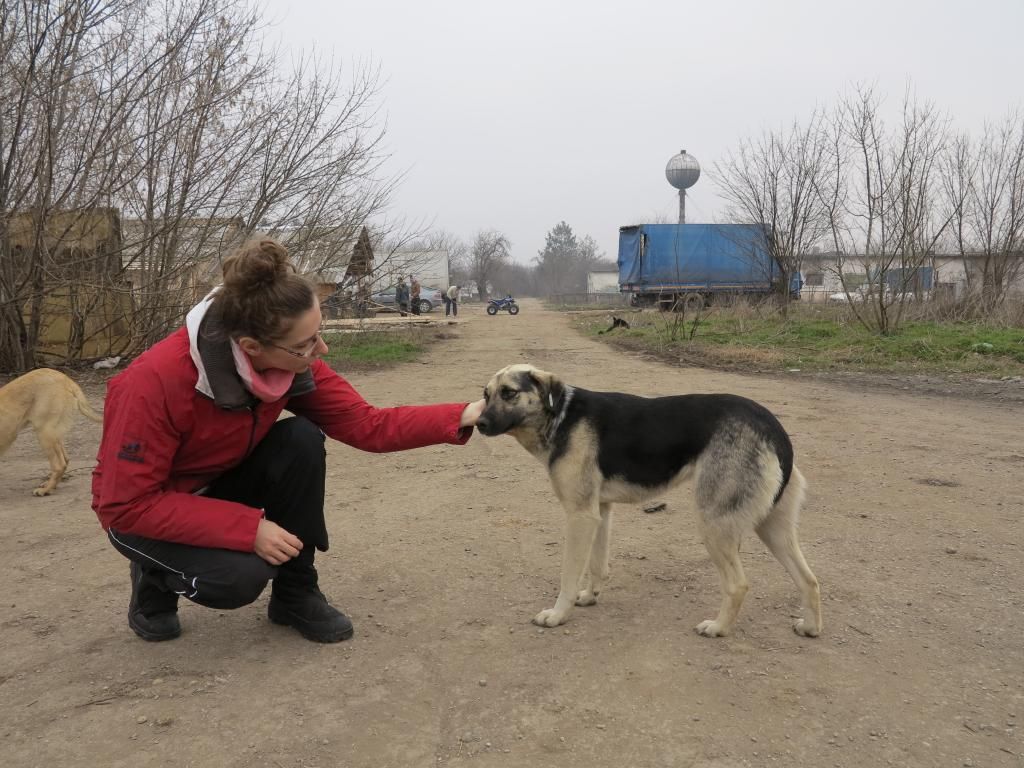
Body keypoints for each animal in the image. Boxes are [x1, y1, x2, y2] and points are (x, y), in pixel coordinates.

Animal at [0, 368, 102, 499]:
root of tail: (65, 379)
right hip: (54, 435)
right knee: (65, 460)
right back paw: (50, 485)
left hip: (44, 433)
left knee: (59, 465)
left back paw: (45, 490)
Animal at [475, 364, 819, 638]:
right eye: (486, 394)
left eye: (508, 393)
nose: (479, 424)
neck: (560, 416)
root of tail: (772, 427)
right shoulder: (599, 512)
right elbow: (597, 564)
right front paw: (590, 596)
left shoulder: (580, 516)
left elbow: (569, 575)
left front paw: (558, 615)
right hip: (773, 528)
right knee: (809, 580)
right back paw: (810, 627)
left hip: (714, 524)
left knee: (738, 585)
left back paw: (718, 628)